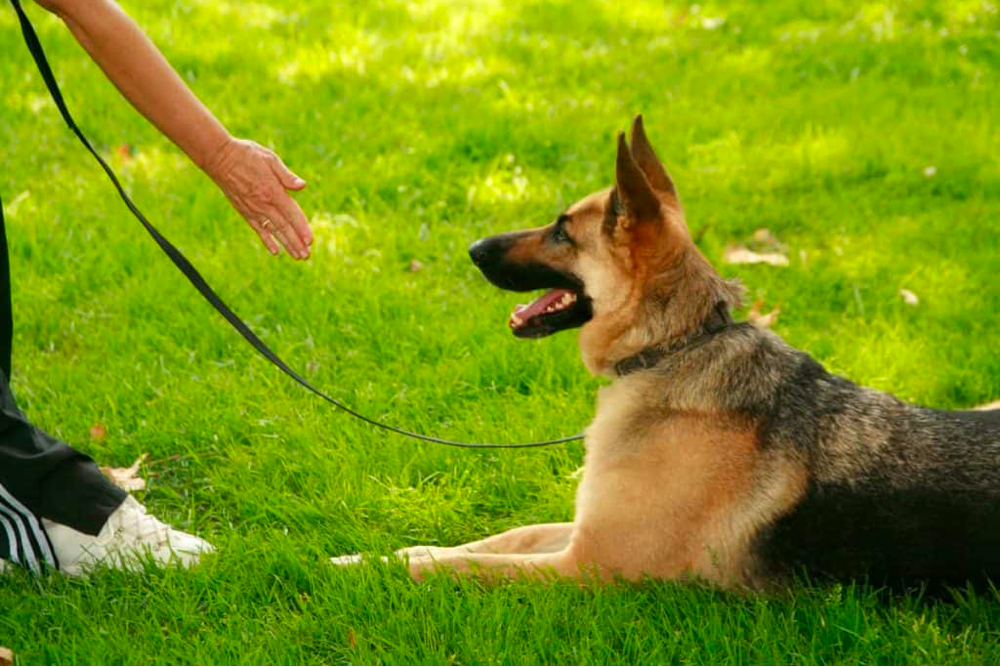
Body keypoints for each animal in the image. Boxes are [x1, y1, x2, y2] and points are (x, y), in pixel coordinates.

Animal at [336, 117, 1000, 592]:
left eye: (561, 232)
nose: (472, 248)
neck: (671, 347)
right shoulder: (582, 531)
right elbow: (504, 537)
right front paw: (389, 549)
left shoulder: (589, 564)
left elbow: (463, 566)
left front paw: (370, 565)